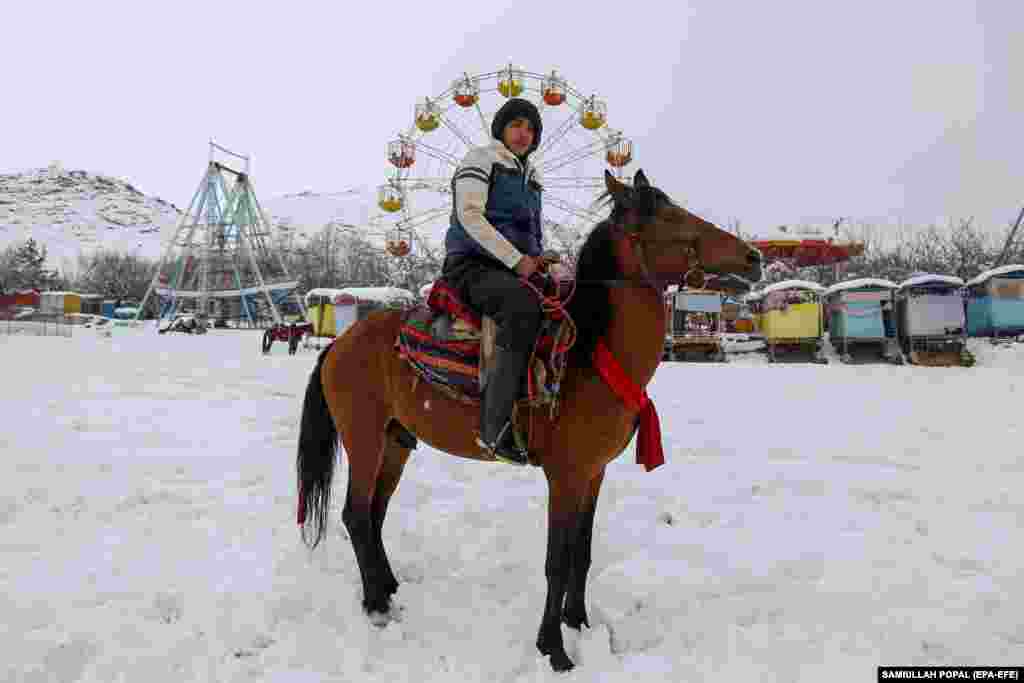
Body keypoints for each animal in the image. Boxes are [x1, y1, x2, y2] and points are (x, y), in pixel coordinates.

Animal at [296, 167, 761, 671]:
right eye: (669, 215)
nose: (753, 257)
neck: (589, 352)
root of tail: (338, 344)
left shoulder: (593, 473)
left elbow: (582, 552)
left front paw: (579, 622)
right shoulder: (566, 476)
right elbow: (556, 560)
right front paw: (554, 649)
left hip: (395, 441)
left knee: (374, 515)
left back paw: (387, 586)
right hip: (364, 438)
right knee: (356, 514)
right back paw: (377, 604)